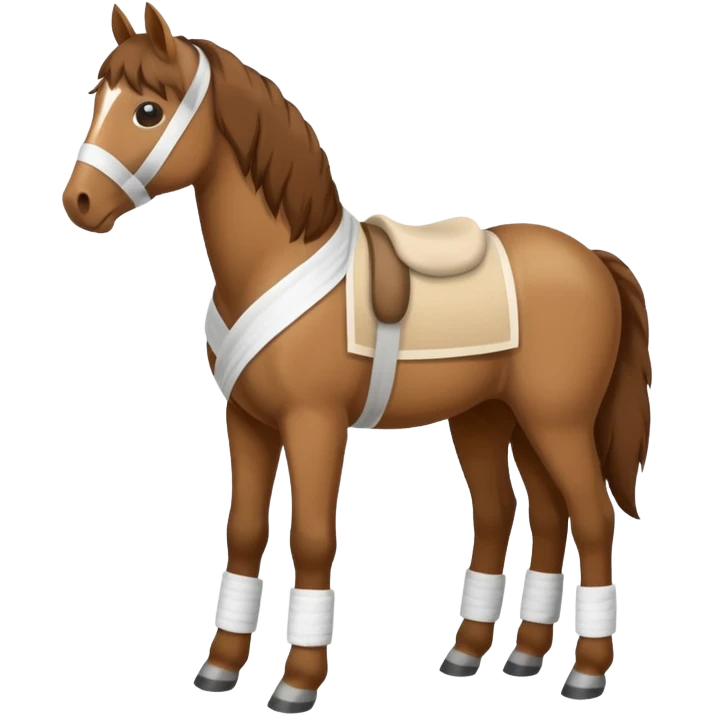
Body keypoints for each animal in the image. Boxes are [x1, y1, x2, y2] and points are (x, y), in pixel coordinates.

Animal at [62, 3, 652, 710]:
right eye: (96, 98)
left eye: (148, 110)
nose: (79, 203)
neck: (277, 258)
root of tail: (591, 259)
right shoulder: (247, 421)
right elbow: (244, 534)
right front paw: (220, 667)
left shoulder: (314, 423)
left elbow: (313, 540)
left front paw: (297, 680)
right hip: (492, 419)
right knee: (521, 514)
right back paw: (502, 655)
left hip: (557, 421)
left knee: (590, 519)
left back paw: (585, 671)